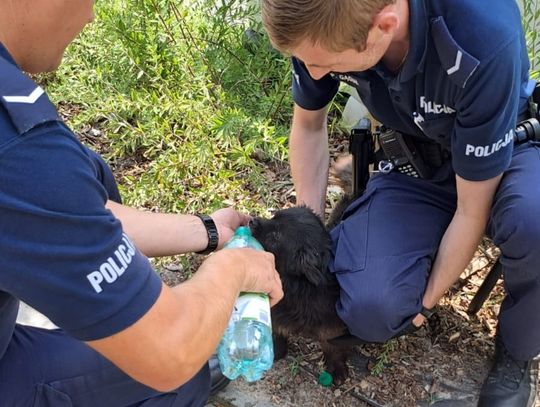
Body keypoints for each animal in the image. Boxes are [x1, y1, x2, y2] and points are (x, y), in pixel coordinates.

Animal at [250, 207, 352, 382]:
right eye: (273, 216)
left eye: (276, 236)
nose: (252, 220)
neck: (298, 286)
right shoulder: (275, 311)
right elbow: (277, 332)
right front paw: (276, 351)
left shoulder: (331, 325)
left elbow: (332, 346)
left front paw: (336, 367)